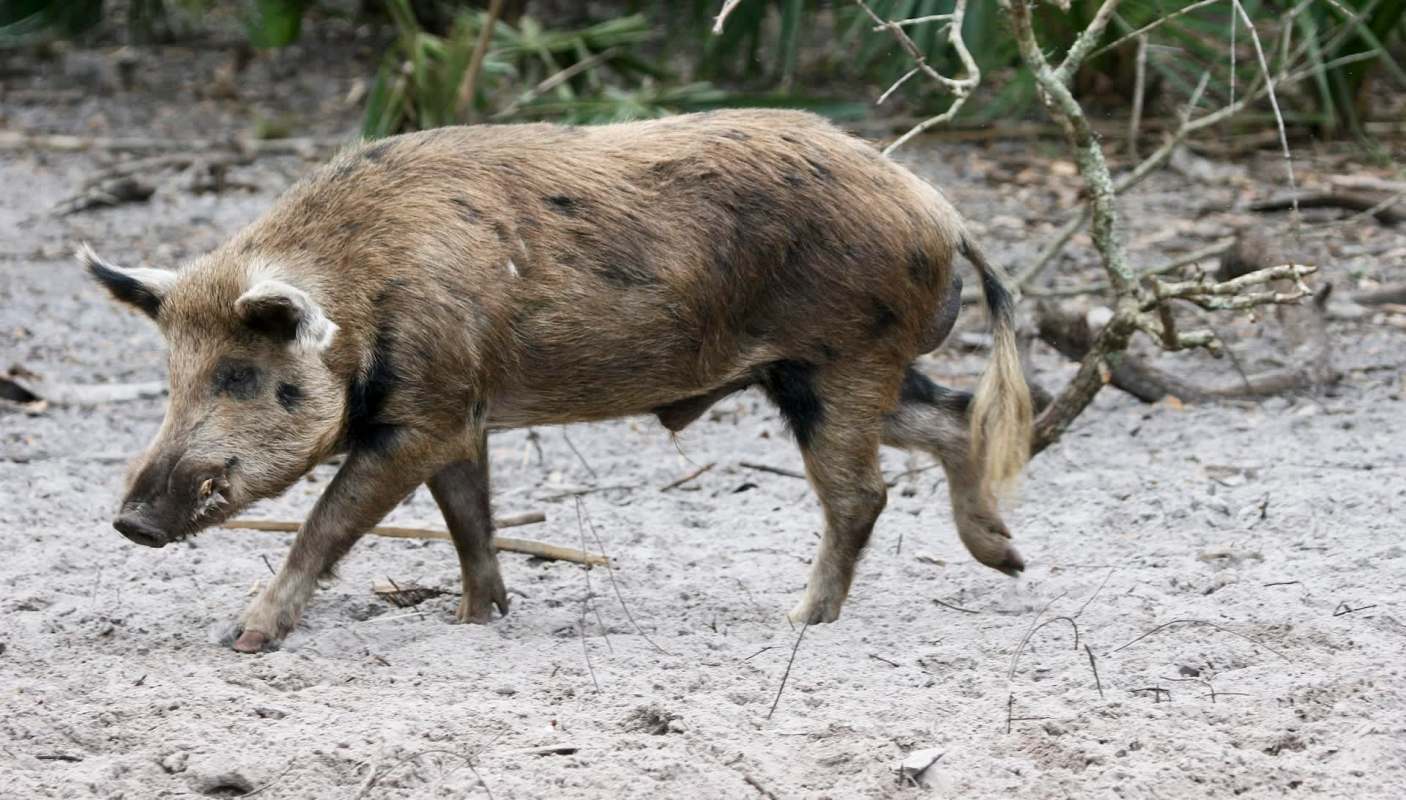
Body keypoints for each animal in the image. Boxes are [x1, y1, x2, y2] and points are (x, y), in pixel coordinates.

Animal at [83, 109, 1032, 653]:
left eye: (241, 374)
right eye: (171, 375)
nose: (129, 521)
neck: (363, 289)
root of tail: (940, 210)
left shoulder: (426, 412)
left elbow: (328, 523)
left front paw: (242, 640)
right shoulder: (459, 413)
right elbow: (469, 519)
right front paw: (477, 620)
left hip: (838, 359)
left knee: (862, 493)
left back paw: (798, 622)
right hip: (822, 372)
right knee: (954, 417)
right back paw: (1007, 559)